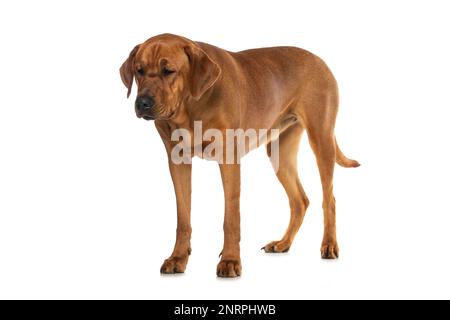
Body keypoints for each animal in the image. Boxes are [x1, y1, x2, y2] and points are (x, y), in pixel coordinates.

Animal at [118, 33, 358, 278]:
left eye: (168, 71)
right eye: (139, 70)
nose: (143, 103)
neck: (191, 105)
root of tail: (319, 59)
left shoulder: (229, 160)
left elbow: (231, 217)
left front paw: (230, 260)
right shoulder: (178, 161)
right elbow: (183, 217)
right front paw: (178, 258)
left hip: (321, 139)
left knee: (329, 199)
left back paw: (329, 244)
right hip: (280, 153)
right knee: (300, 200)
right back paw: (283, 243)